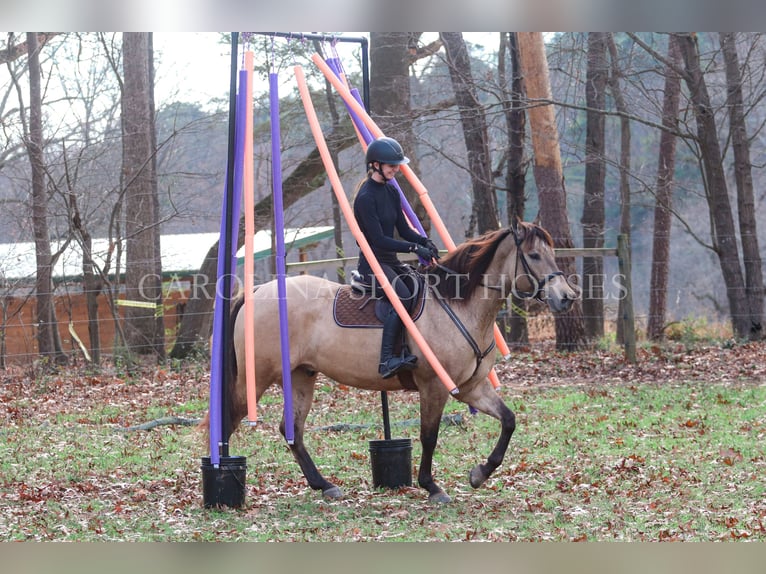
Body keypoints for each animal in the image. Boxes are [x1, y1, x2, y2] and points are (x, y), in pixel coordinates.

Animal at [225, 220, 580, 504]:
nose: (567, 297)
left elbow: (508, 420)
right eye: (534, 256)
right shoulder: (434, 387)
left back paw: (323, 485)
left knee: (292, 431)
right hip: (258, 377)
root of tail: (257, 291)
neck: (459, 304)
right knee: (232, 418)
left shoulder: (472, 388)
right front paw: (431, 486)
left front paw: (479, 473)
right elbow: (429, 436)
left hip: (301, 376)